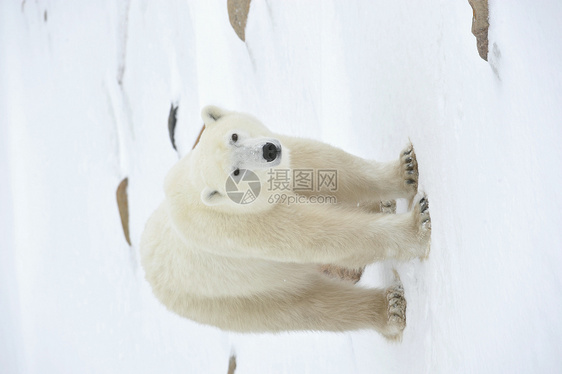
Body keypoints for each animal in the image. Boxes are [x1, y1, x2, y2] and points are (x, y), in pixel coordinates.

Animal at [140, 104, 428, 338]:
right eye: (236, 173)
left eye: (234, 136)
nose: (269, 150)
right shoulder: (243, 225)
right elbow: (316, 234)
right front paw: (418, 225)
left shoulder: (289, 159)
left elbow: (327, 166)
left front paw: (406, 170)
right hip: (231, 298)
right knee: (309, 305)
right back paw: (391, 308)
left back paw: (382, 205)